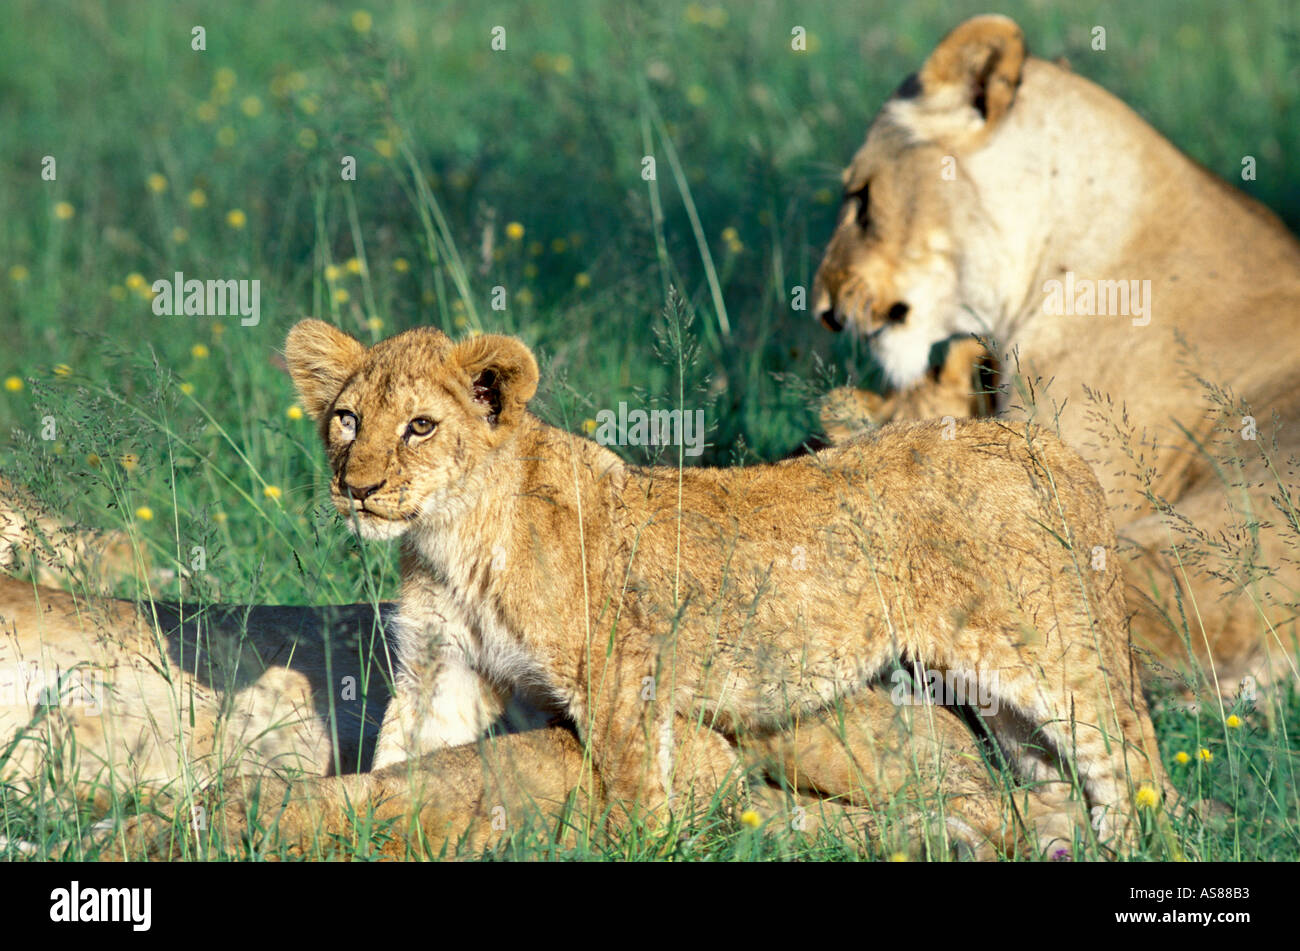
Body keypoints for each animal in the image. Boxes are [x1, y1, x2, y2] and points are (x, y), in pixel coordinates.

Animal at [282, 318, 1166, 842]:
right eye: (347, 419)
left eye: (421, 426)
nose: (356, 487)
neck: (452, 536)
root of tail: (1034, 440)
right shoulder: (445, 668)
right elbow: (402, 760)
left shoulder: (622, 683)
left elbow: (637, 801)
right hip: (988, 685)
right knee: (1049, 779)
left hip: (1049, 650)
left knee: (1134, 761)